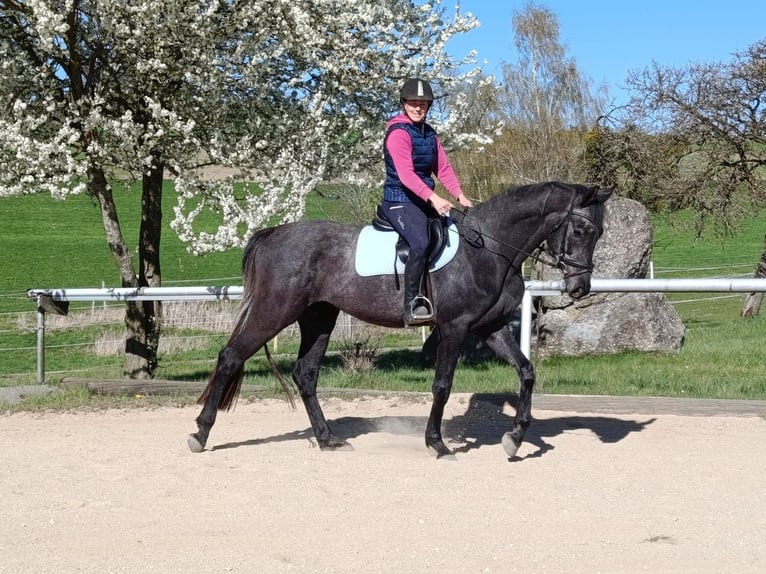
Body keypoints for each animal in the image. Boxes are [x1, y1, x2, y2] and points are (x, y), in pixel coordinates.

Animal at [188, 181, 612, 459]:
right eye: (580, 228)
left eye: (599, 232)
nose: (579, 288)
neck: (490, 249)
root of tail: (274, 233)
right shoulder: (455, 328)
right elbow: (442, 386)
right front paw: (437, 443)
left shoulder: (488, 328)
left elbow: (526, 372)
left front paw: (516, 438)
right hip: (275, 311)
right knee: (231, 357)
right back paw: (201, 434)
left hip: (318, 317)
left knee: (305, 374)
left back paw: (327, 439)